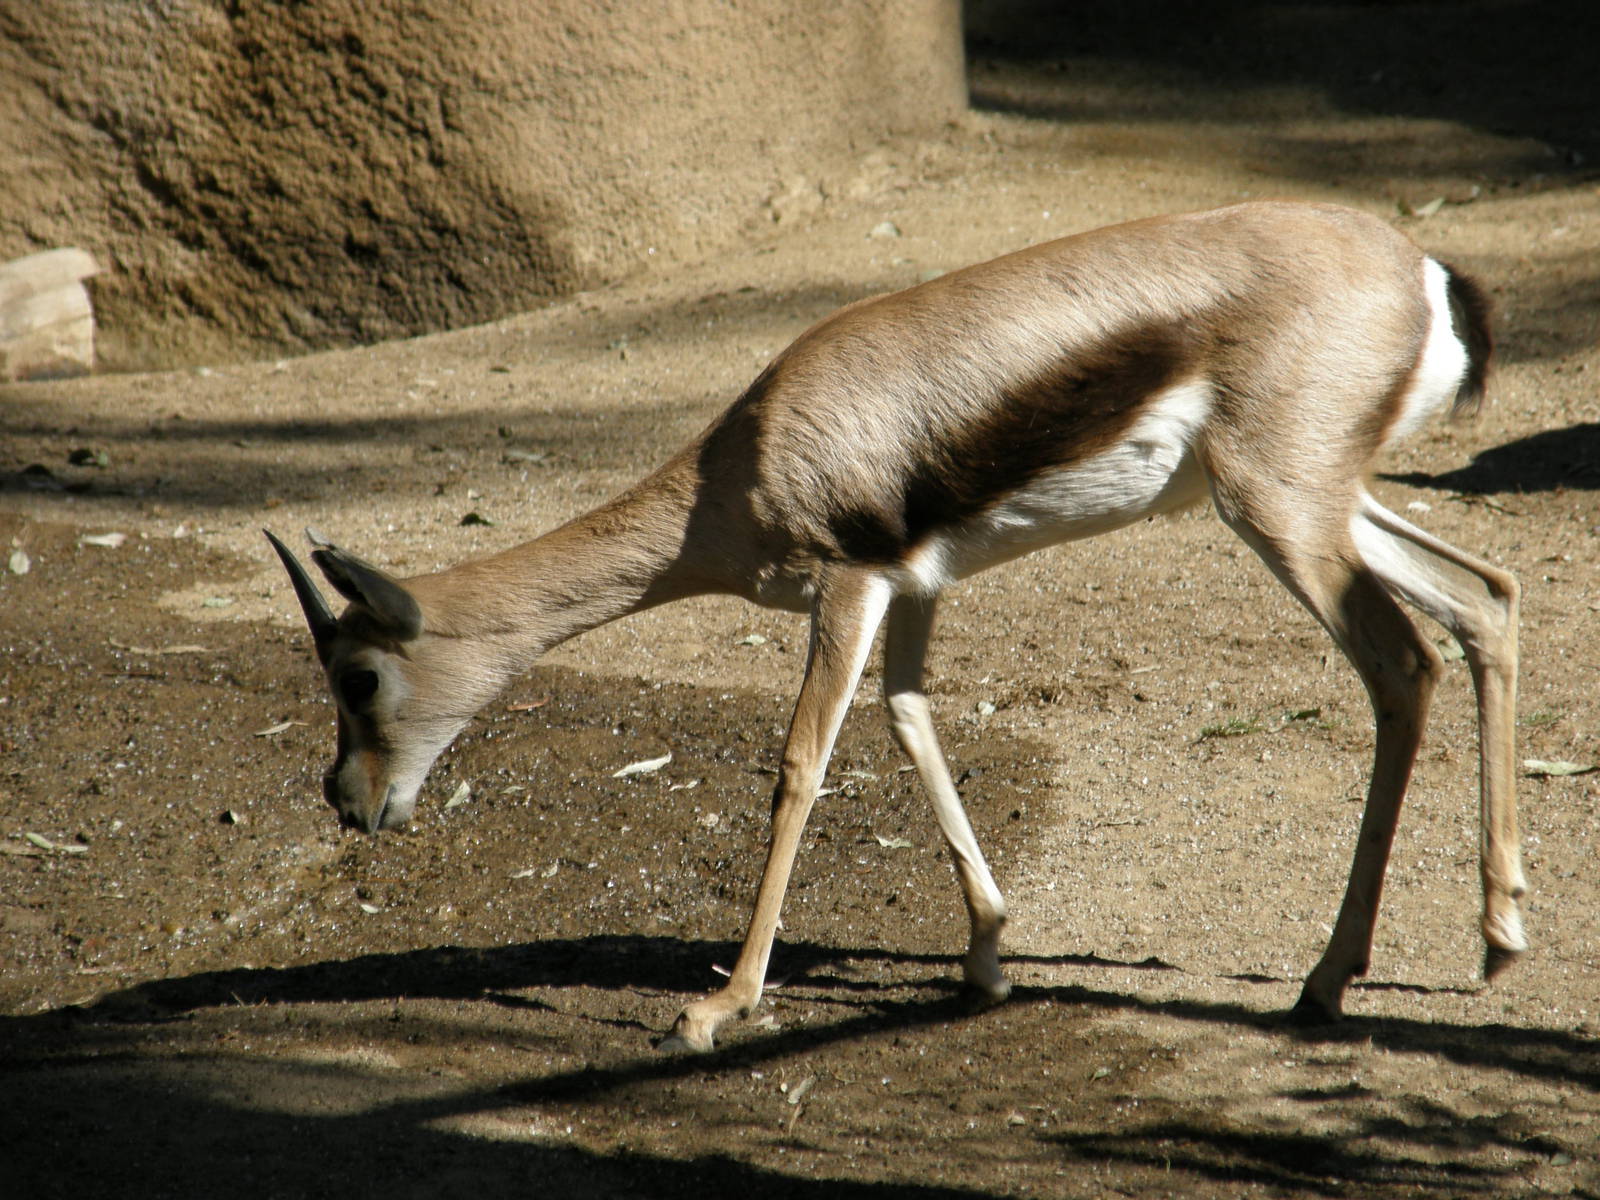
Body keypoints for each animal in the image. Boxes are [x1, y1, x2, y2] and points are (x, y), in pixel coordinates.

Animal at [268, 200, 1525, 1053]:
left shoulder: (850, 583)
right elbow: (911, 719)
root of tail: (1423, 270)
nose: (348, 801)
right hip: (1327, 503)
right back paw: (1496, 936)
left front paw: (718, 1006)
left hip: (1278, 513)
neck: (744, 459)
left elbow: (800, 763)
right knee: (1487, 599)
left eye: (358, 676)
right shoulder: (920, 587)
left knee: (1401, 665)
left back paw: (1326, 981)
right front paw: (985, 960)